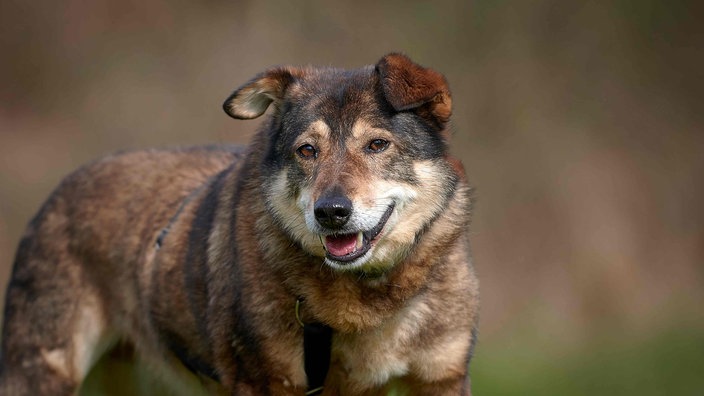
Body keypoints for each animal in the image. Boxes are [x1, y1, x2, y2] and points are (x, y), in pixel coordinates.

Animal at [0, 53, 478, 396]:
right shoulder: (262, 382)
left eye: (377, 145)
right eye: (307, 151)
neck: (368, 301)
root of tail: (59, 191)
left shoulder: (441, 377)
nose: (330, 212)